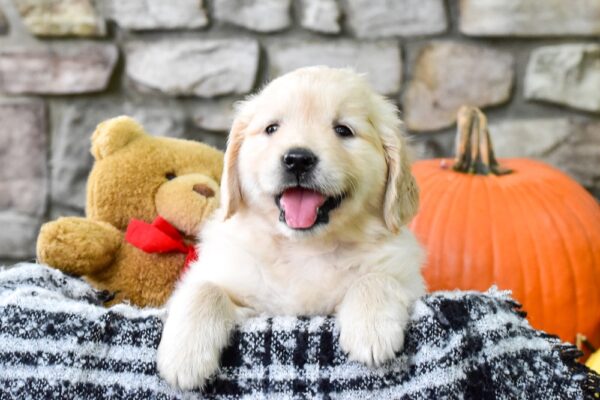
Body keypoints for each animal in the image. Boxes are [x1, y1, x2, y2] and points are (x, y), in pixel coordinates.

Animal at [157, 67, 424, 390]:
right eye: (272, 128)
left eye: (343, 130)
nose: (298, 159)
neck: (303, 247)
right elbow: (204, 289)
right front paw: (184, 357)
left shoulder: (409, 279)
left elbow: (375, 278)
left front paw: (372, 331)